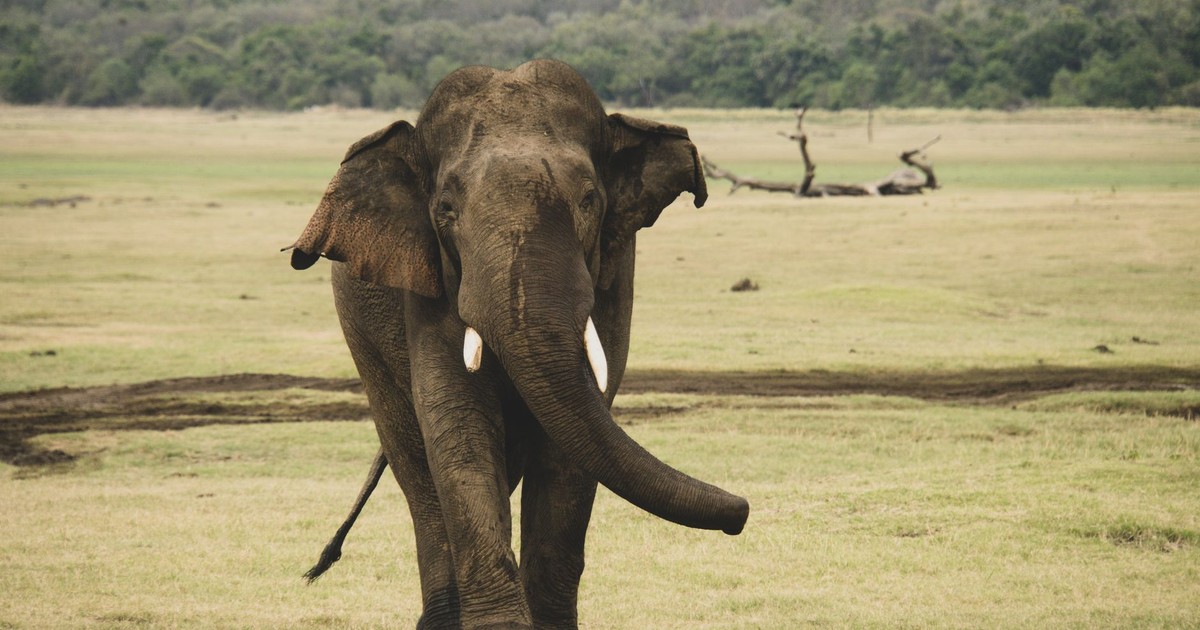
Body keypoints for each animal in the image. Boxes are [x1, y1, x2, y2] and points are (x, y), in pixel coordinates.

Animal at [286, 59, 749, 629]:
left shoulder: (615, 270)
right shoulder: (428, 274)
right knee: (417, 469)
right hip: (364, 341)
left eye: (589, 199)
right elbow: (456, 420)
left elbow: (574, 443)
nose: (741, 511)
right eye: (445, 208)